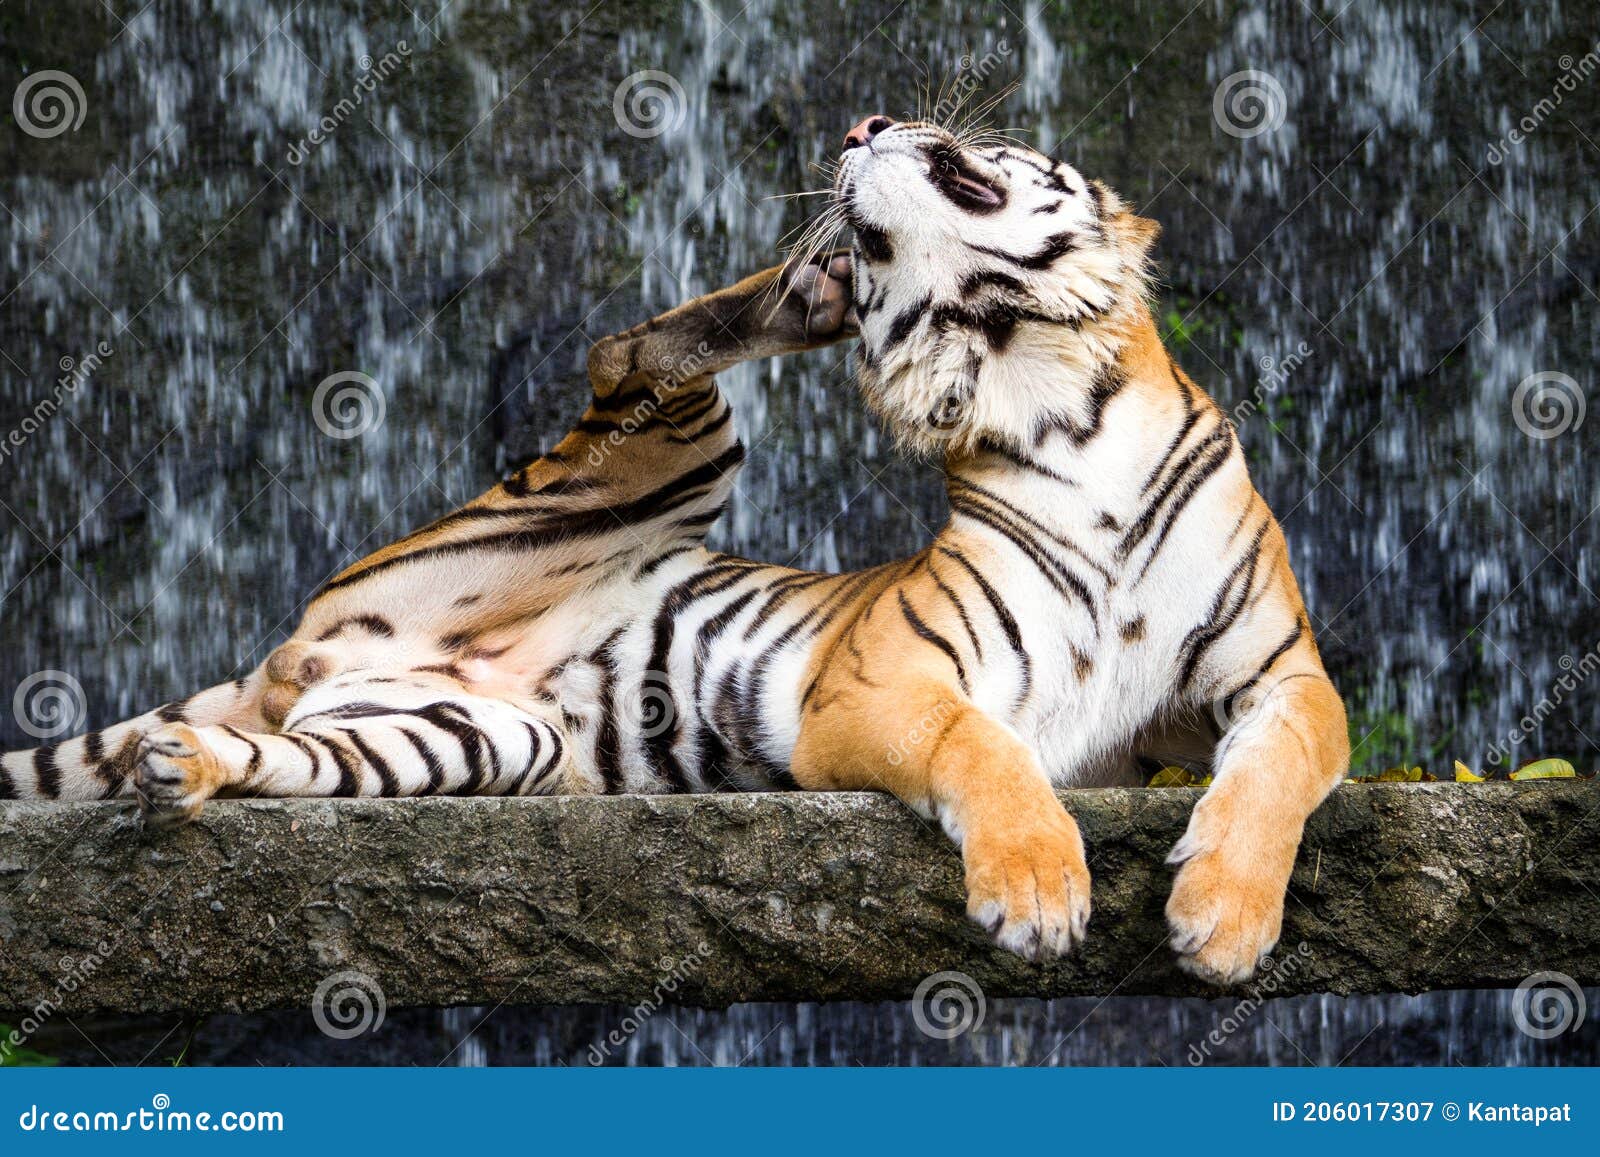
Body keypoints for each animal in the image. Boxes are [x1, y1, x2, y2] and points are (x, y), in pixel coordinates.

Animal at [3, 115, 1350, 985]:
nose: (864, 117)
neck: (1034, 380)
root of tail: (297, 650)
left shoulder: (1279, 671)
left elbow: (1279, 767)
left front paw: (1224, 919)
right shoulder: (880, 680)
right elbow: (985, 748)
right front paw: (1035, 888)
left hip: (461, 737)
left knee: (292, 761)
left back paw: (188, 768)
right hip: (662, 459)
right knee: (629, 355)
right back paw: (801, 294)